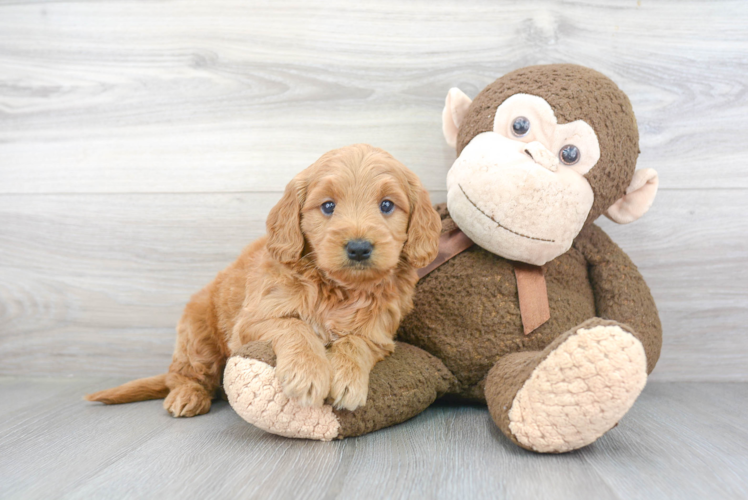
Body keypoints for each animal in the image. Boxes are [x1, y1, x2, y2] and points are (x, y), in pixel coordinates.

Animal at [85, 146, 442, 418]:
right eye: (328, 206)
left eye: (387, 205)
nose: (358, 248)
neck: (338, 289)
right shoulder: (251, 322)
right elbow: (294, 326)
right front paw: (307, 373)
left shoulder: (379, 333)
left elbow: (355, 342)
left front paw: (346, 378)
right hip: (197, 337)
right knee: (184, 374)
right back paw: (187, 395)